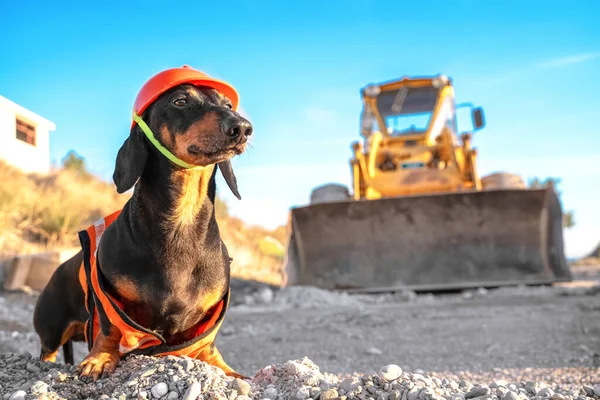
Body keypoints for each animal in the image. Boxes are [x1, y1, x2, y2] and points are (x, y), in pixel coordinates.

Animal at [33, 70, 253, 380]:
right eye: (181, 100)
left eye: (229, 105)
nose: (242, 128)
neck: (181, 221)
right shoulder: (108, 297)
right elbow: (111, 326)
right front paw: (100, 358)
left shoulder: (207, 318)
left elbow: (205, 345)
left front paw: (227, 370)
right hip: (51, 329)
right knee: (48, 351)